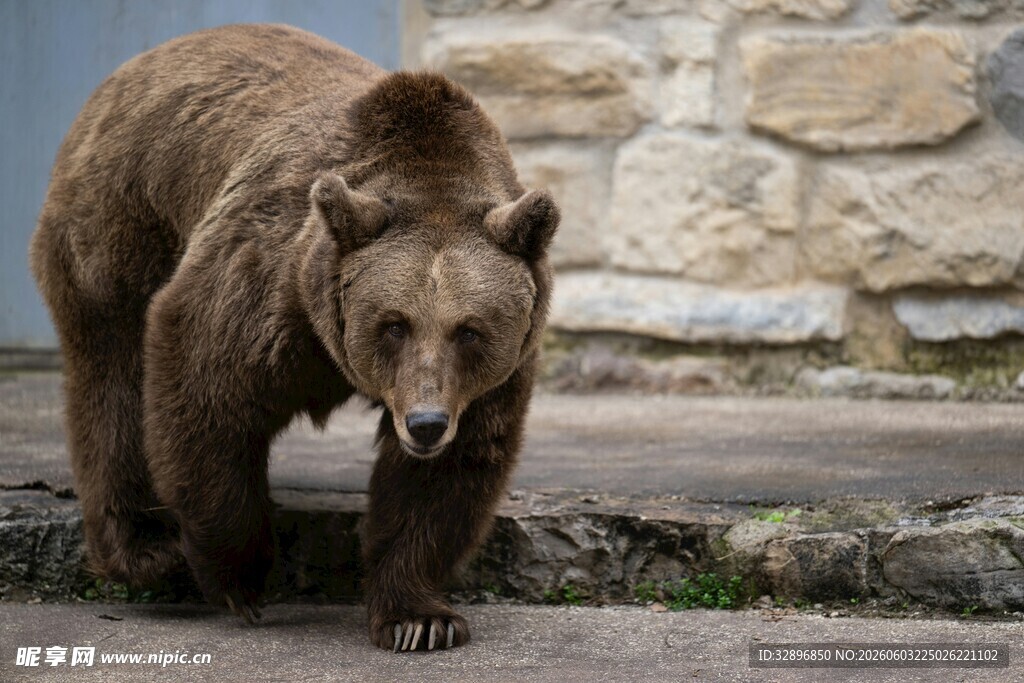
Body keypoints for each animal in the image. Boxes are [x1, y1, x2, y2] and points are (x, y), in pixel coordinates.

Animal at [29, 23, 558, 652]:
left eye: (469, 330)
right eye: (393, 323)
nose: (425, 423)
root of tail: (134, 67)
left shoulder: (490, 379)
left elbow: (445, 476)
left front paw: (419, 618)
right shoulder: (270, 281)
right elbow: (208, 392)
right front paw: (242, 578)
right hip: (120, 222)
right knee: (112, 379)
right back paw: (147, 549)